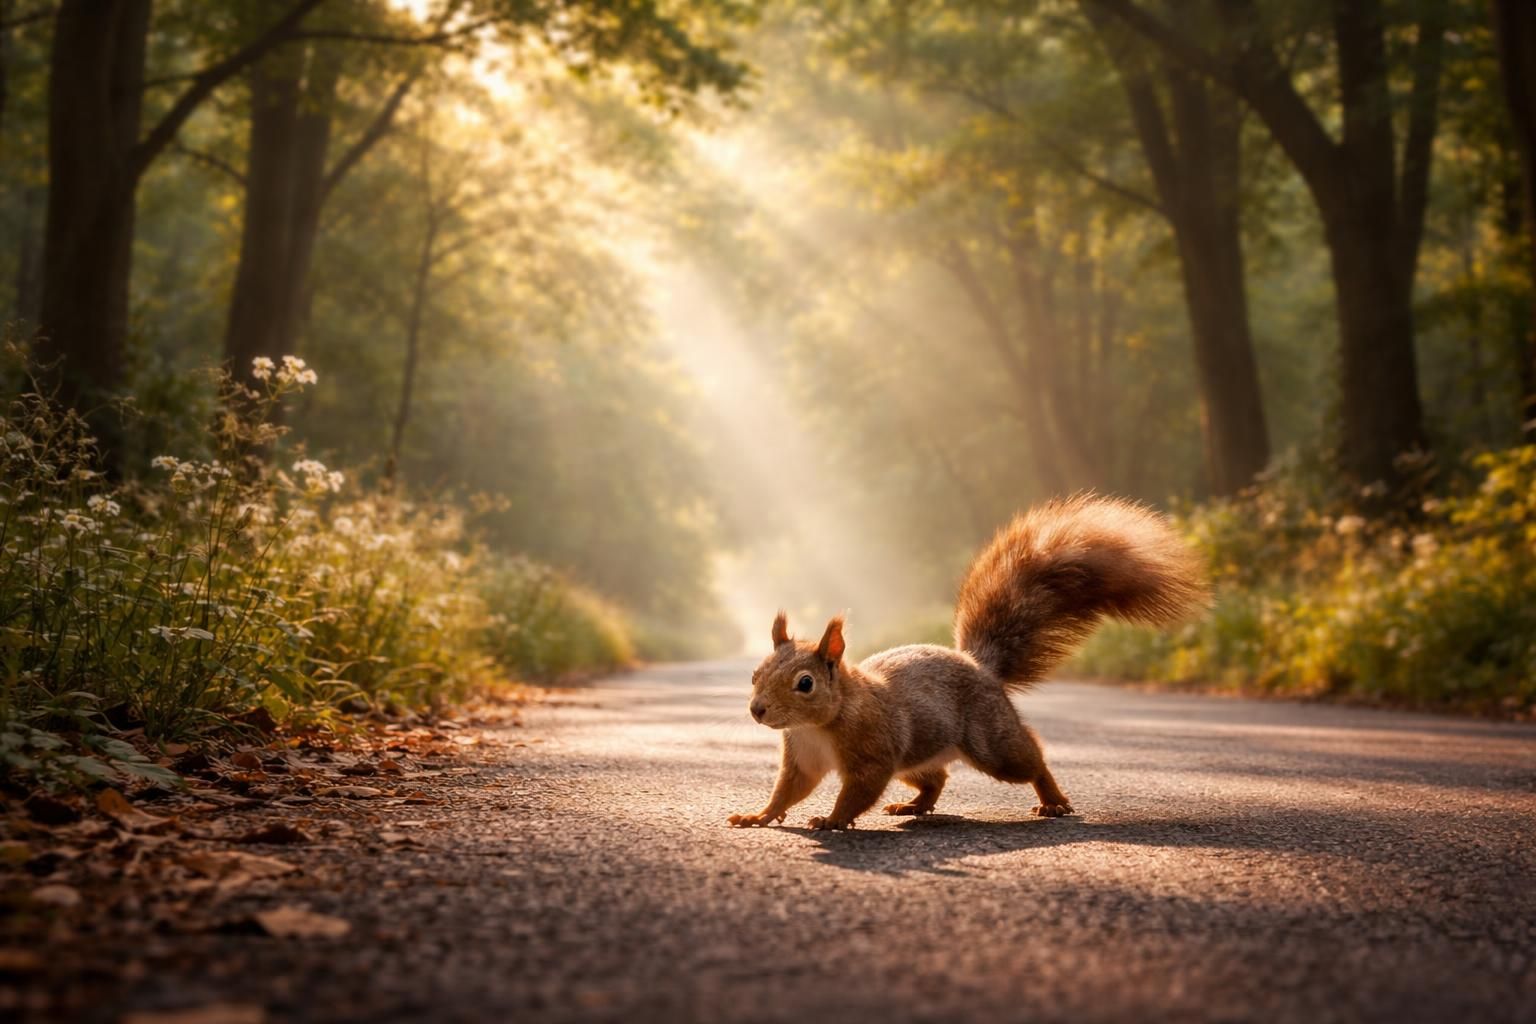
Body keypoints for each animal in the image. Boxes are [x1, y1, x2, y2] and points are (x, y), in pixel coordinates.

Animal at [728, 494, 1206, 831]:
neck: (820, 723)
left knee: (1030, 757)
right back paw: (913, 805)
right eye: (754, 675)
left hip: (990, 744)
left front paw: (831, 819)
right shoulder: (802, 757)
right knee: (937, 778)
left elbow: (858, 791)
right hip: (917, 756)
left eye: (805, 683)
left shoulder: (873, 752)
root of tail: (979, 667)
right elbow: (788, 791)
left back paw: (1052, 799)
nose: (757, 710)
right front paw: (758, 815)